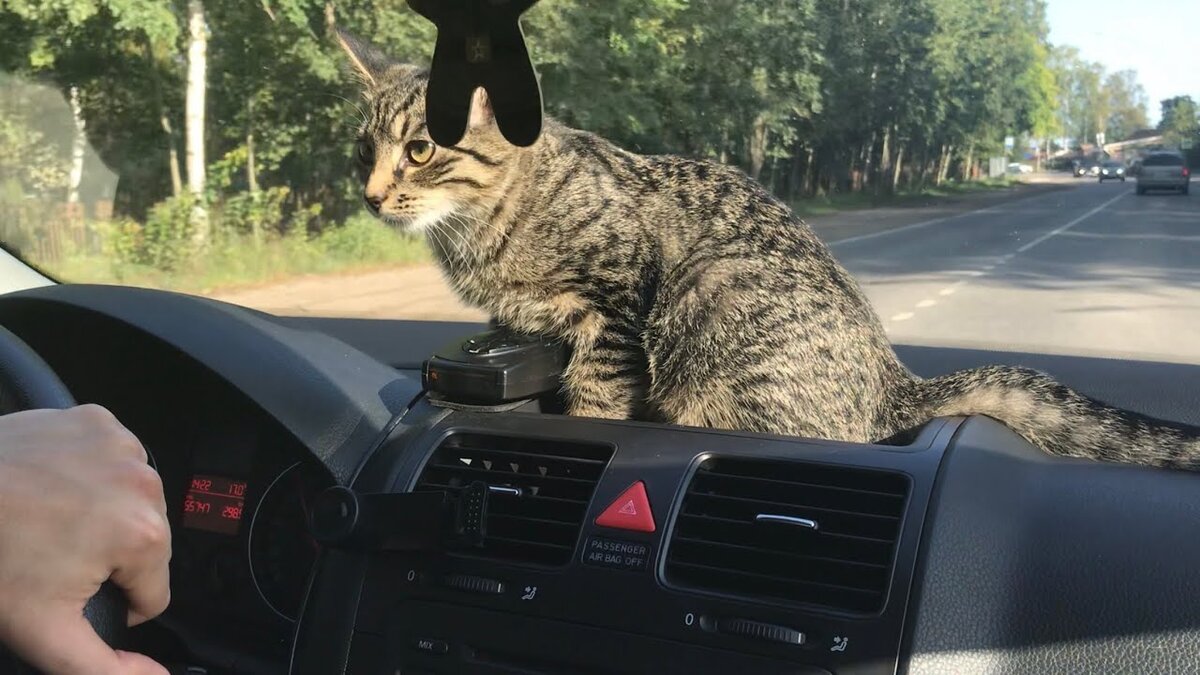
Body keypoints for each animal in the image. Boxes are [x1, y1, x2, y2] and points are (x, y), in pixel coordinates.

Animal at [338, 32, 1200, 468]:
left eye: (419, 150)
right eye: (362, 150)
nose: (372, 195)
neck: (482, 228)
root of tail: (894, 383)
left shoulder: (615, 304)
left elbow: (601, 398)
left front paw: (586, 426)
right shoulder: (526, 319)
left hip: (716, 289)